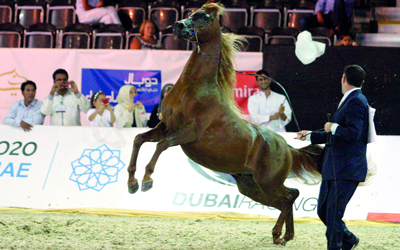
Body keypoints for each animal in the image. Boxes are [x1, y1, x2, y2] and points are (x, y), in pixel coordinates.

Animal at [127, 2, 322, 246]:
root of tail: (287, 147)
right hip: (251, 186)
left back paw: (280, 234)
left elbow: (161, 145)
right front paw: (132, 183)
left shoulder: (188, 133)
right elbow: (139, 139)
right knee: (288, 198)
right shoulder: (166, 126)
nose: (178, 26)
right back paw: (284, 235)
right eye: (191, 14)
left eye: (205, 17)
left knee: (289, 197)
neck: (194, 90)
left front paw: (147, 180)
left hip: (268, 182)